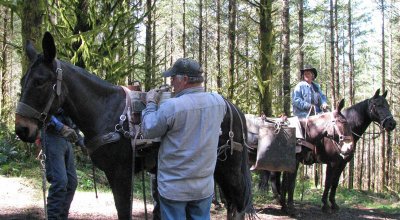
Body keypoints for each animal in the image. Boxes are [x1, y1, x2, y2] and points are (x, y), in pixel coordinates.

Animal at [16, 31, 253, 219]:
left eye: (39, 81)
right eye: (22, 80)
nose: (22, 128)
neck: (106, 111)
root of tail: (234, 108)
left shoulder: (121, 173)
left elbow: (124, 212)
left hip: (229, 167)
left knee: (238, 204)